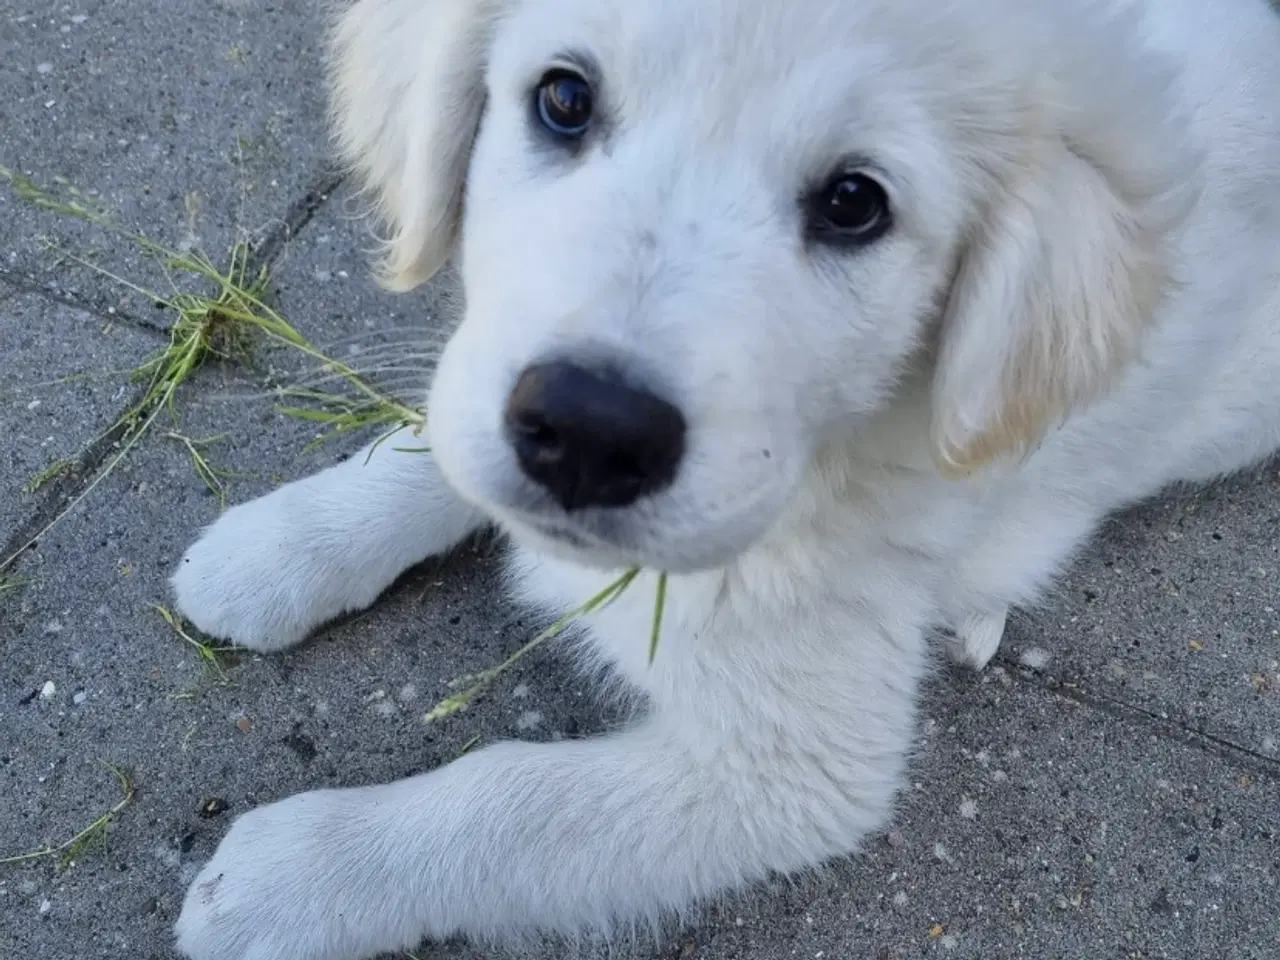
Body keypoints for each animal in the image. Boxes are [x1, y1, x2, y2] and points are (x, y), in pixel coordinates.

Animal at [170, 0, 1280, 957]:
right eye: (563, 98)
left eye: (853, 203)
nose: (588, 432)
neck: (827, 463)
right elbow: (435, 443)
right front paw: (280, 548)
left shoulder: (796, 773)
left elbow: (508, 798)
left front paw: (292, 876)